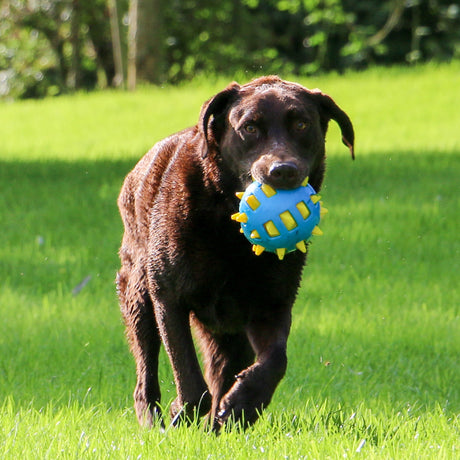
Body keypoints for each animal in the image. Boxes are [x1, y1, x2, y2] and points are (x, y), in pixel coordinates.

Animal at [117, 76, 354, 432]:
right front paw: (179, 411)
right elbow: (189, 377)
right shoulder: (168, 297)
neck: (230, 226)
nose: (283, 171)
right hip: (138, 294)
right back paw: (151, 418)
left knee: (222, 370)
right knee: (145, 368)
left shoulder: (271, 305)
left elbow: (276, 360)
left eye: (302, 124)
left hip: (228, 334)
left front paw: (244, 404)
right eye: (250, 128)